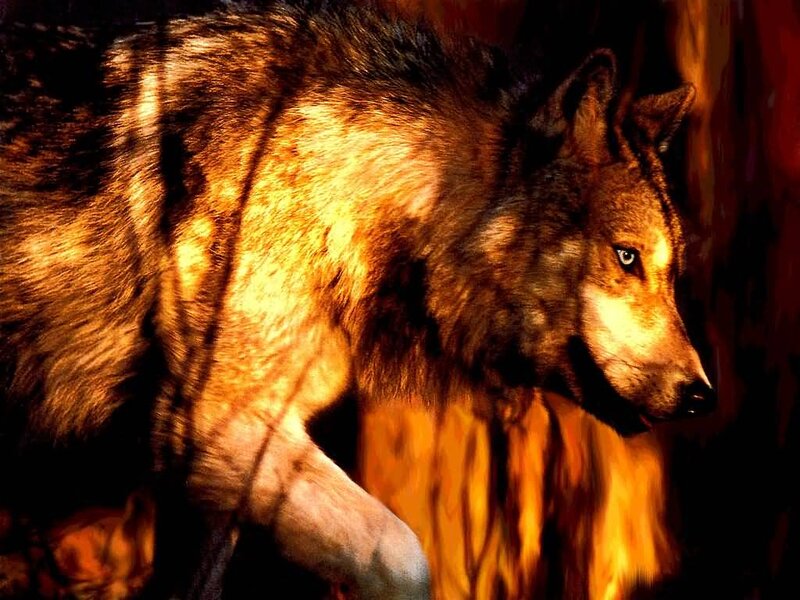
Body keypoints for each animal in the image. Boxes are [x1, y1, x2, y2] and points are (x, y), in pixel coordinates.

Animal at [0, 2, 714, 598]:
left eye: (671, 272)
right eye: (627, 258)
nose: (701, 394)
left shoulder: (218, 480)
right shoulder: (217, 425)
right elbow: (402, 557)